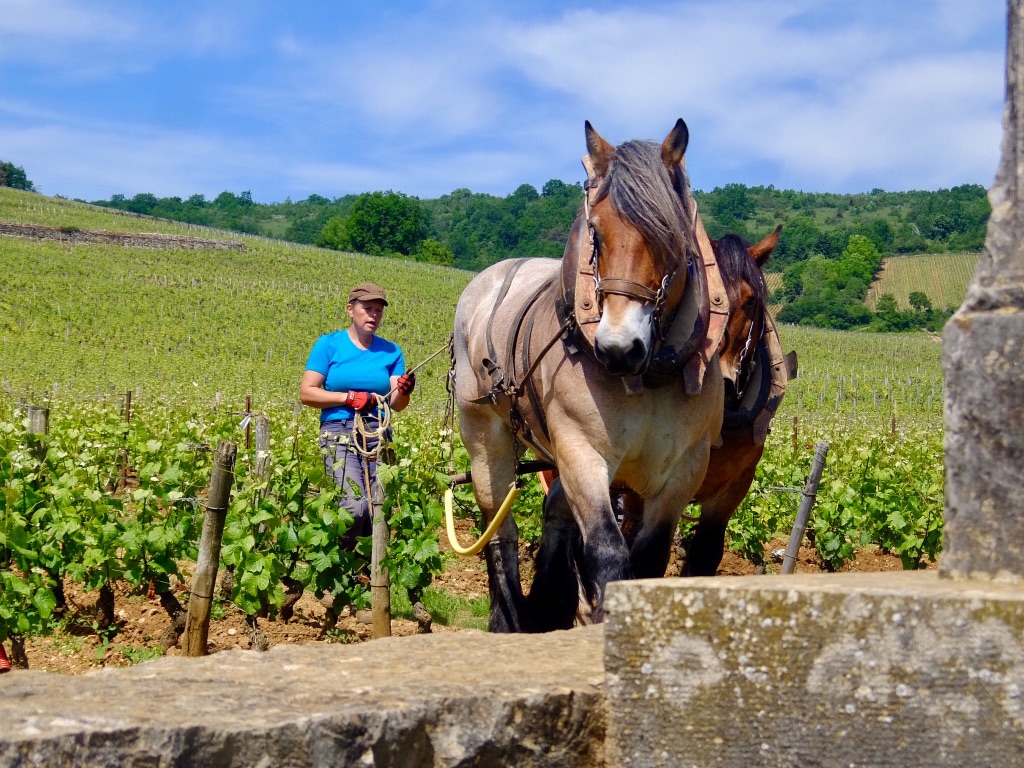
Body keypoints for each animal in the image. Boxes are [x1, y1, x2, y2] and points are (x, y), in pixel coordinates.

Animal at [452, 120, 724, 634]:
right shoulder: (582, 451)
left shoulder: (684, 470)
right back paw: (510, 619)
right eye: (595, 232)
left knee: (552, 513)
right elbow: (605, 550)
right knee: (500, 531)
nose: (618, 348)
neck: (646, 377)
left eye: (671, 234)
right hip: (485, 441)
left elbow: (649, 560)